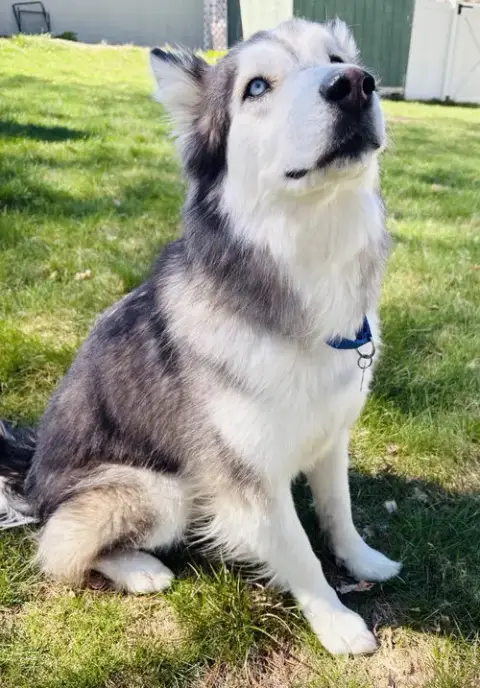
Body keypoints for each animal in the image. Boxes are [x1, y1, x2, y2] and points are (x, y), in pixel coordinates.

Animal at [0, 18, 401, 654]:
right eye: (256, 86)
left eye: (336, 58)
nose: (355, 85)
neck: (307, 266)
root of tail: (30, 472)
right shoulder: (245, 476)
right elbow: (299, 552)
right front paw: (336, 622)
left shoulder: (331, 435)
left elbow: (339, 510)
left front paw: (363, 561)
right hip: (161, 491)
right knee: (56, 546)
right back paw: (140, 569)